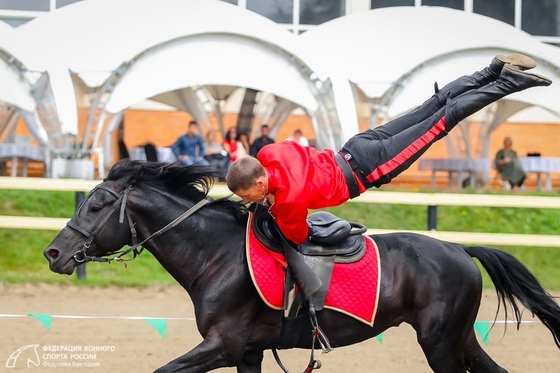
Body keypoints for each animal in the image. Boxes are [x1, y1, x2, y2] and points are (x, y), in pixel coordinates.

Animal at [44, 160, 560, 372]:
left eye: (96, 205)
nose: (53, 253)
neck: (216, 255)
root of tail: (460, 249)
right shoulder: (248, 354)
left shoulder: (223, 347)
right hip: (458, 339)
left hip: (440, 344)